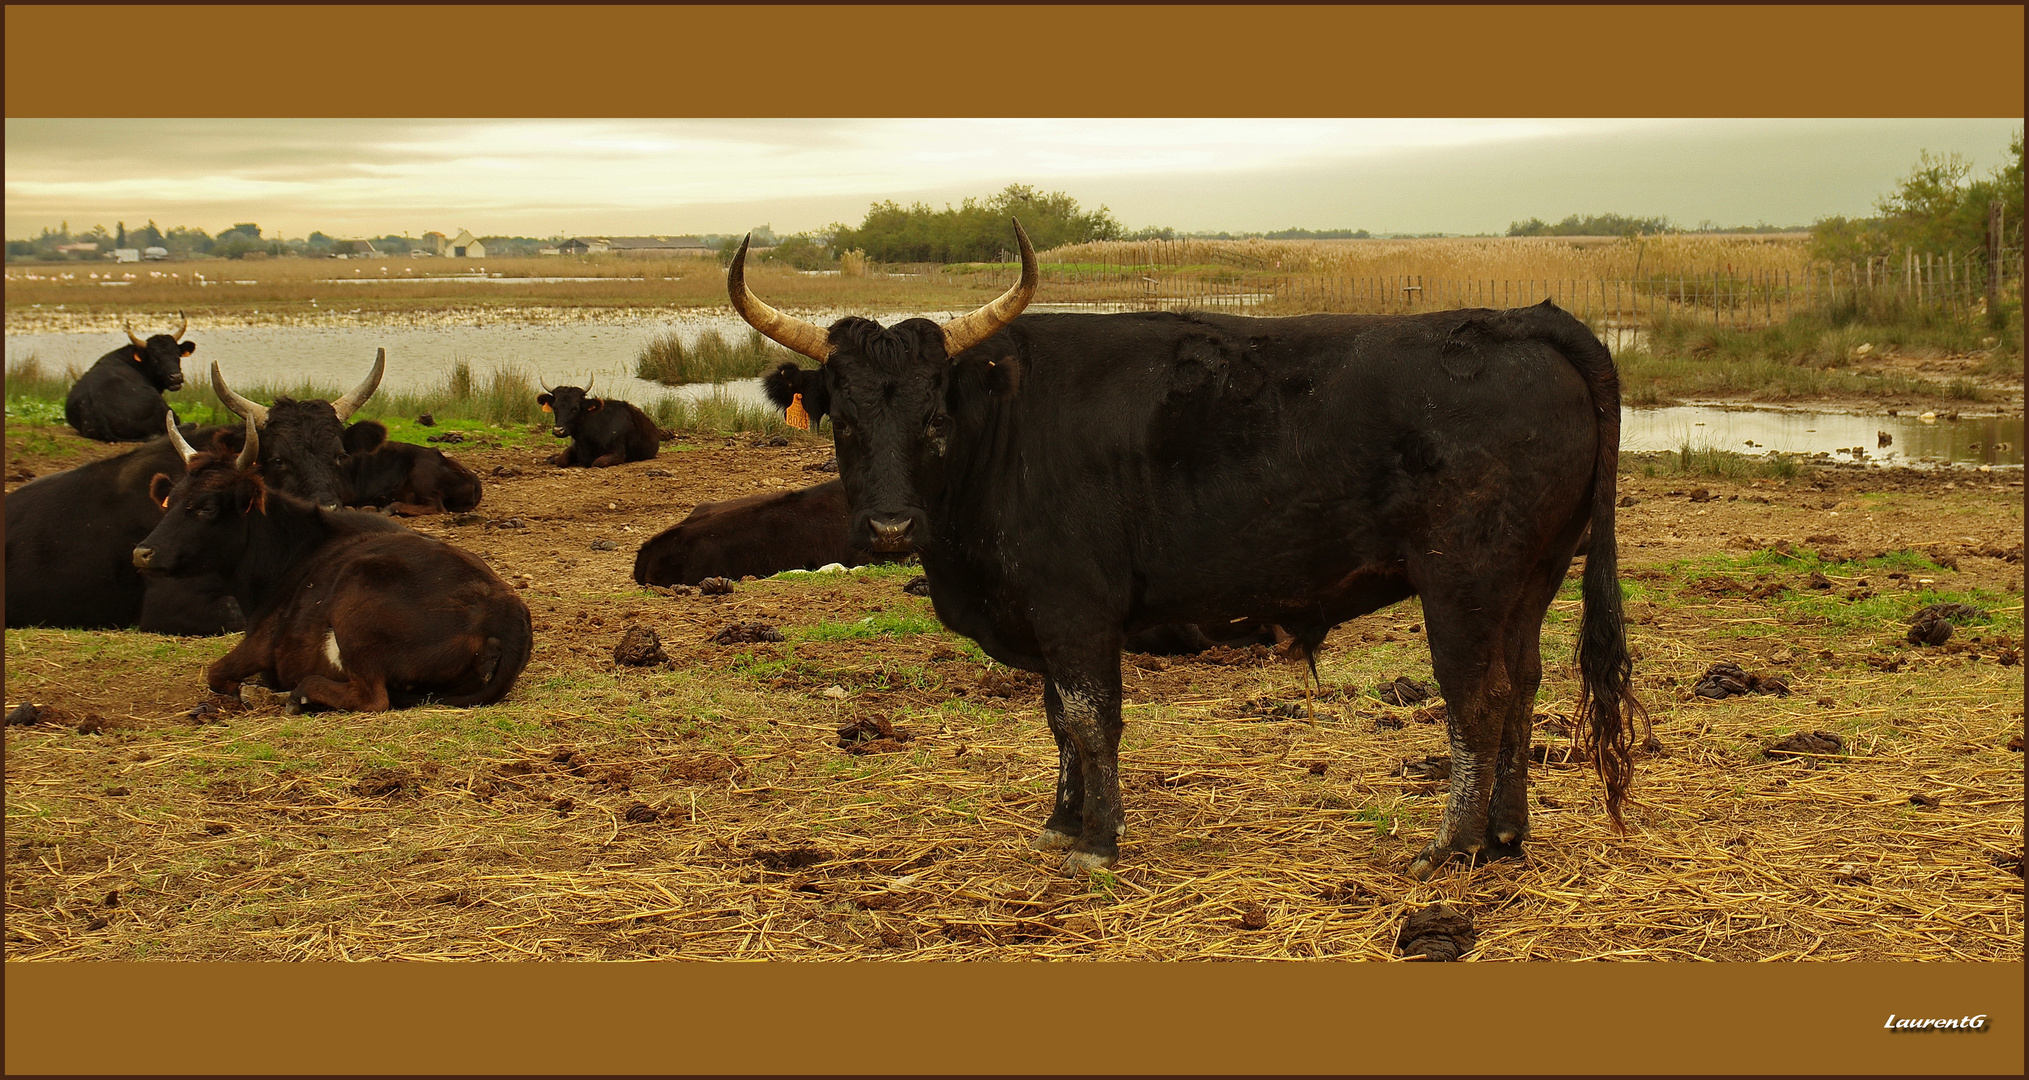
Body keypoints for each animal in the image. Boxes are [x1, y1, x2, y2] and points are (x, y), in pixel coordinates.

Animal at [132, 418, 531, 714]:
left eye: (208, 506)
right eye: (170, 500)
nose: (142, 553)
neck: (291, 552)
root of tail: (507, 611)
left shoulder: (261, 643)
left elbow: (216, 673)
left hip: (359, 601)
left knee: (371, 697)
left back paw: (295, 694)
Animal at [738, 223, 1639, 881]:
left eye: (933, 419)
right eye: (844, 420)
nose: (890, 528)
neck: (1001, 432)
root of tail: (1518, 318)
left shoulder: (1075, 610)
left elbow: (1088, 718)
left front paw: (1097, 841)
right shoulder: (1044, 621)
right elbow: (1056, 719)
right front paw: (1060, 822)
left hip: (1462, 579)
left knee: (1477, 700)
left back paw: (1448, 845)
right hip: (1532, 577)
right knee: (1523, 685)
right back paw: (1505, 835)